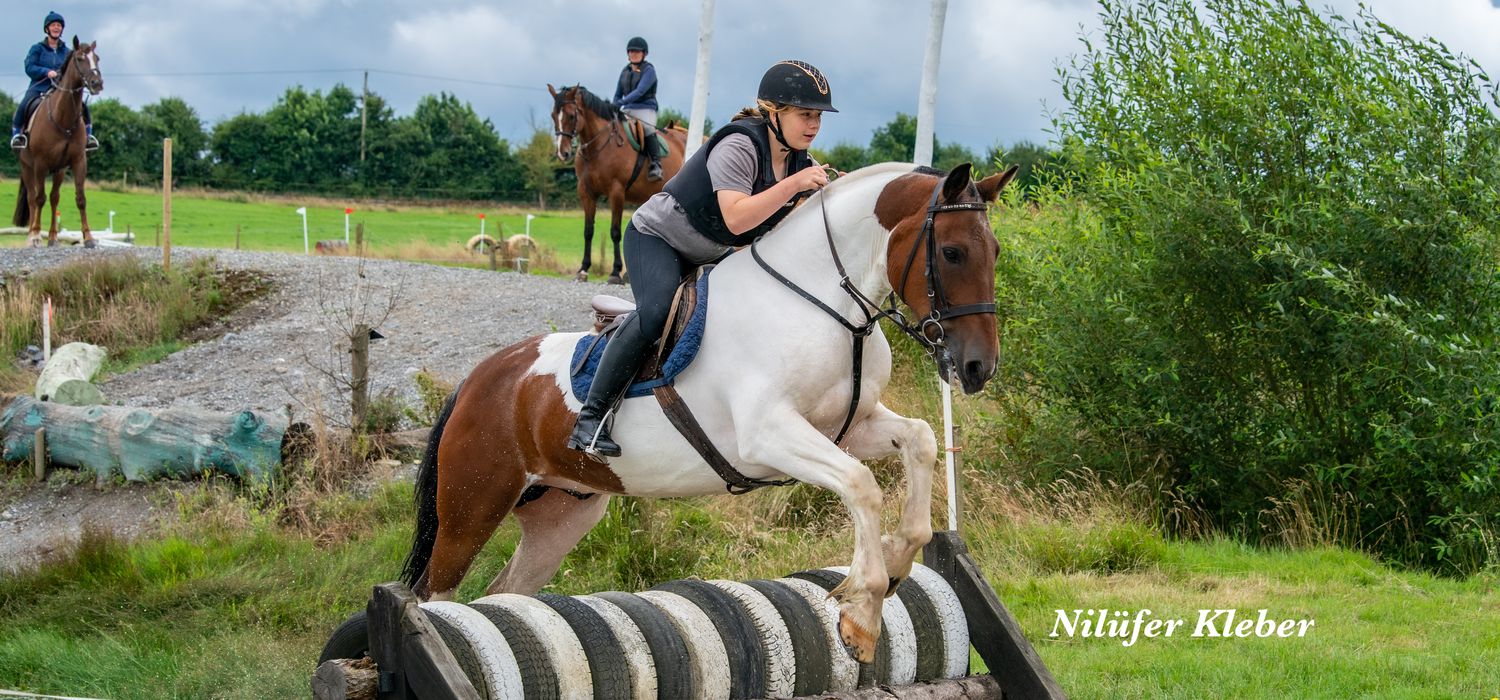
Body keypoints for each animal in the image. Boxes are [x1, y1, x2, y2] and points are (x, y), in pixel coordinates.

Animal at [10, 37, 102, 248]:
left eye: (97, 58)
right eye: (80, 58)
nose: (97, 83)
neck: (63, 119)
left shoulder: (78, 161)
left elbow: (80, 198)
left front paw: (89, 238)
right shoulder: (40, 164)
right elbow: (39, 198)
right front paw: (36, 235)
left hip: (59, 170)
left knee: (54, 198)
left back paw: (52, 237)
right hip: (27, 167)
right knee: (32, 198)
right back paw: (31, 236)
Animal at [399, 161, 1020, 665]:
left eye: (993, 252)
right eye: (952, 252)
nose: (978, 368)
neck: (825, 304)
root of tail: (480, 378)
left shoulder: (848, 427)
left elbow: (920, 440)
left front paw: (894, 563)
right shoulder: (768, 437)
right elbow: (861, 484)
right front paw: (862, 612)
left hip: (561, 514)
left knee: (506, 594)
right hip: (472, 507)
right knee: (436, 596)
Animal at [549, 84, 687, 284]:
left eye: (571, 116)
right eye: (553, 115)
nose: (563, 153)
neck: (598, 148)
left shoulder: (616, 192)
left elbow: (615, 231)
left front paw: (615, 272)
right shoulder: (586, 193)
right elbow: (588, 231)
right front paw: (583, 269)